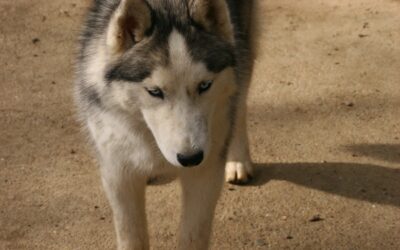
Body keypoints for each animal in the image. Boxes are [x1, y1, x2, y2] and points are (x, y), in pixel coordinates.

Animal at [75, 0, 253, 248]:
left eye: (205, 85)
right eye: (154, 91)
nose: (191, 158)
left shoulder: (205, 174)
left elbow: (193, 236)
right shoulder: (118, 174)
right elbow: (132, 236)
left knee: (241, 100)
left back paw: (238, 161)